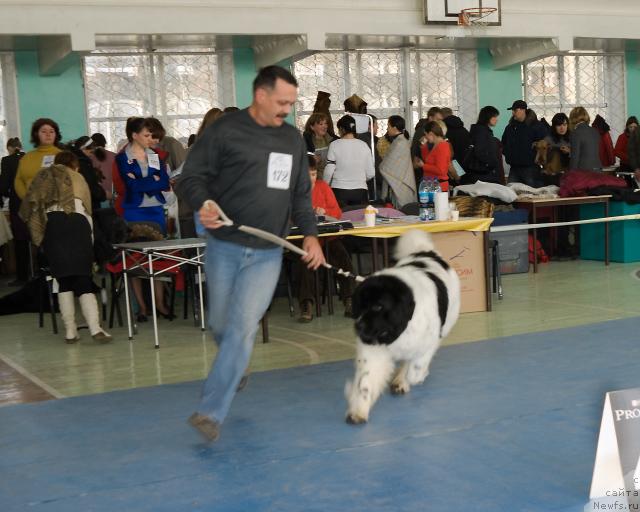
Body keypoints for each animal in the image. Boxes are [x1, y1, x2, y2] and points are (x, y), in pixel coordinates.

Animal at [344, 230, 460, 422]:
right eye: (360, 305)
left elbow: (416, 368)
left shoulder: (428, 341)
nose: (358, 326)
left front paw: (415, 377)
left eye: (378, 306)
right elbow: (366, 381)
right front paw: (359, 409)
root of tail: (426, 251)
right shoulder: (374, 350)